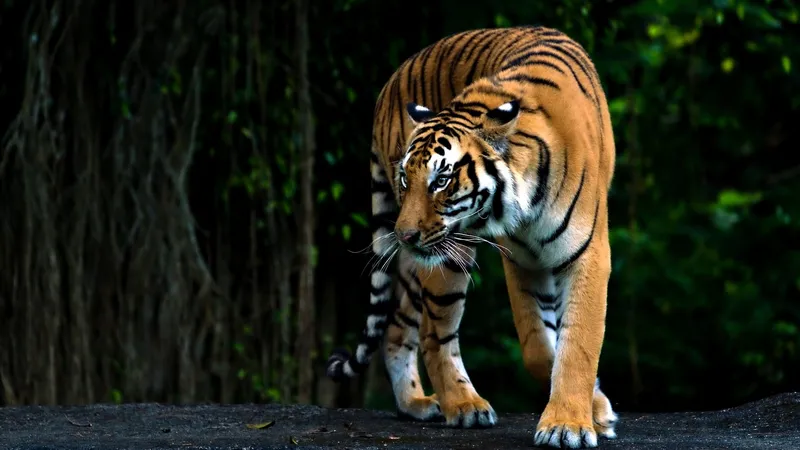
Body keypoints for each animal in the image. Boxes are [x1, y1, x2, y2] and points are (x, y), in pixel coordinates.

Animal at [325, 25, 619, 448]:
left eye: (441, 180)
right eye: (406, 178)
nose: (404, 235)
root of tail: (389, 85)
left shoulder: (585, 255)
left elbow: (576, 342)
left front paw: (571, 422)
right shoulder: (521, 260)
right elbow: (537, 345)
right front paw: (585, 414)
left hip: (424, 261)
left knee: (397, 326)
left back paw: (415, 404)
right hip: (446, 255)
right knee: (433, 335)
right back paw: (463, 405)